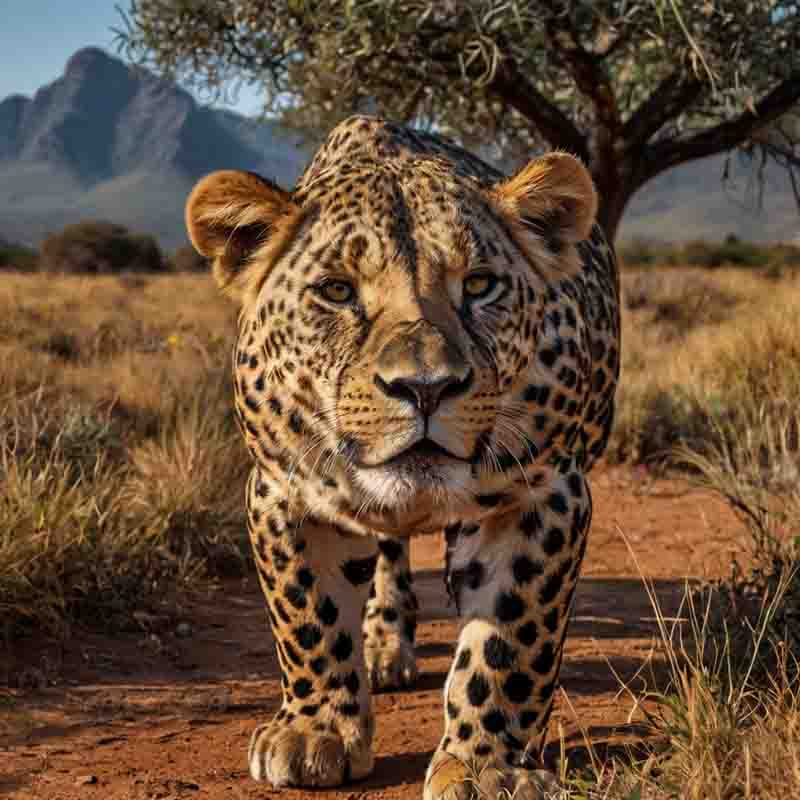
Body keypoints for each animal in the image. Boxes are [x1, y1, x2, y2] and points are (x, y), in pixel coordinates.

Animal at [186, 114, 620, 800]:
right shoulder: (283, 489)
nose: (425, 388)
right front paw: (315, 733)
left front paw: (486, 765)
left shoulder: (546, 494)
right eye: (337, 291)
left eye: (480, 285)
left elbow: (509, 640)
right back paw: (386, 645)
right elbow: (307, 613)